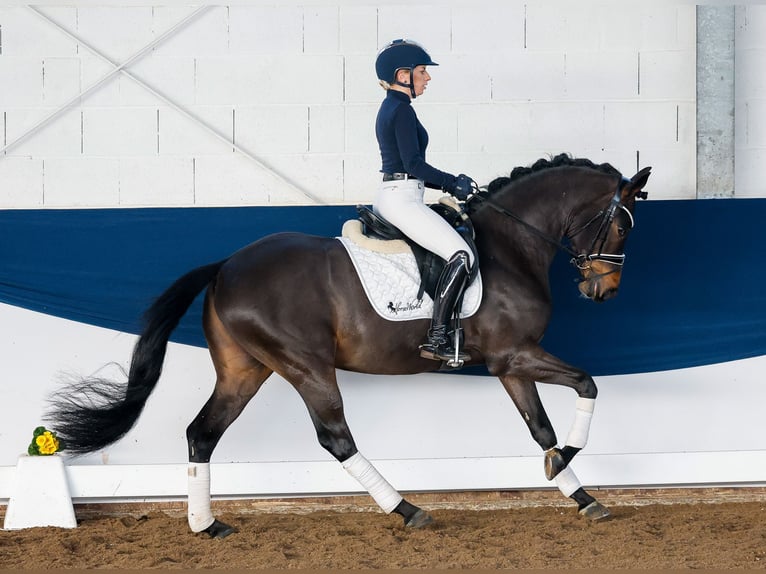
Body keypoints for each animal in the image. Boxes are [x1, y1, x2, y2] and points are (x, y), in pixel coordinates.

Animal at [45, 154, 652, 540]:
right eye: (623, 228)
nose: (604, 291)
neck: (510, 247)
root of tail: (225, 267)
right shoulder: (512, 355)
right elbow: (587, 383)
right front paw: (567, 463)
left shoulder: (510, 364)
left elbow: (540, 428)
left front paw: (578, 491)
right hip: (306, 366)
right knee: (335, 437)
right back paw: (407, 510)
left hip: (246, 370)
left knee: (203, 433)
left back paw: (207, 526)